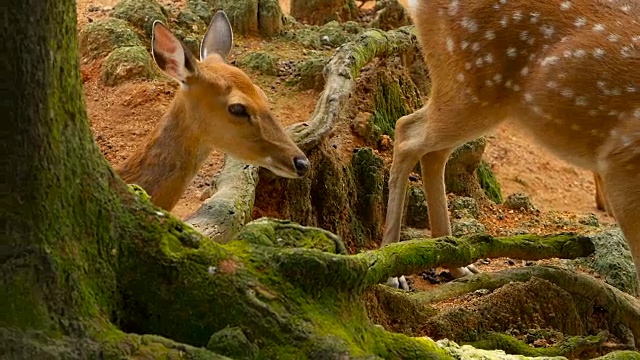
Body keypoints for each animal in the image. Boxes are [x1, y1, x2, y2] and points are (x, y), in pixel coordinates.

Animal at [384, 0, 640, 288]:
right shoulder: (623, 160)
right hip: (470, 85)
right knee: (407, 131)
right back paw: (394, 271)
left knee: (433, 150)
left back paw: (458, 264)